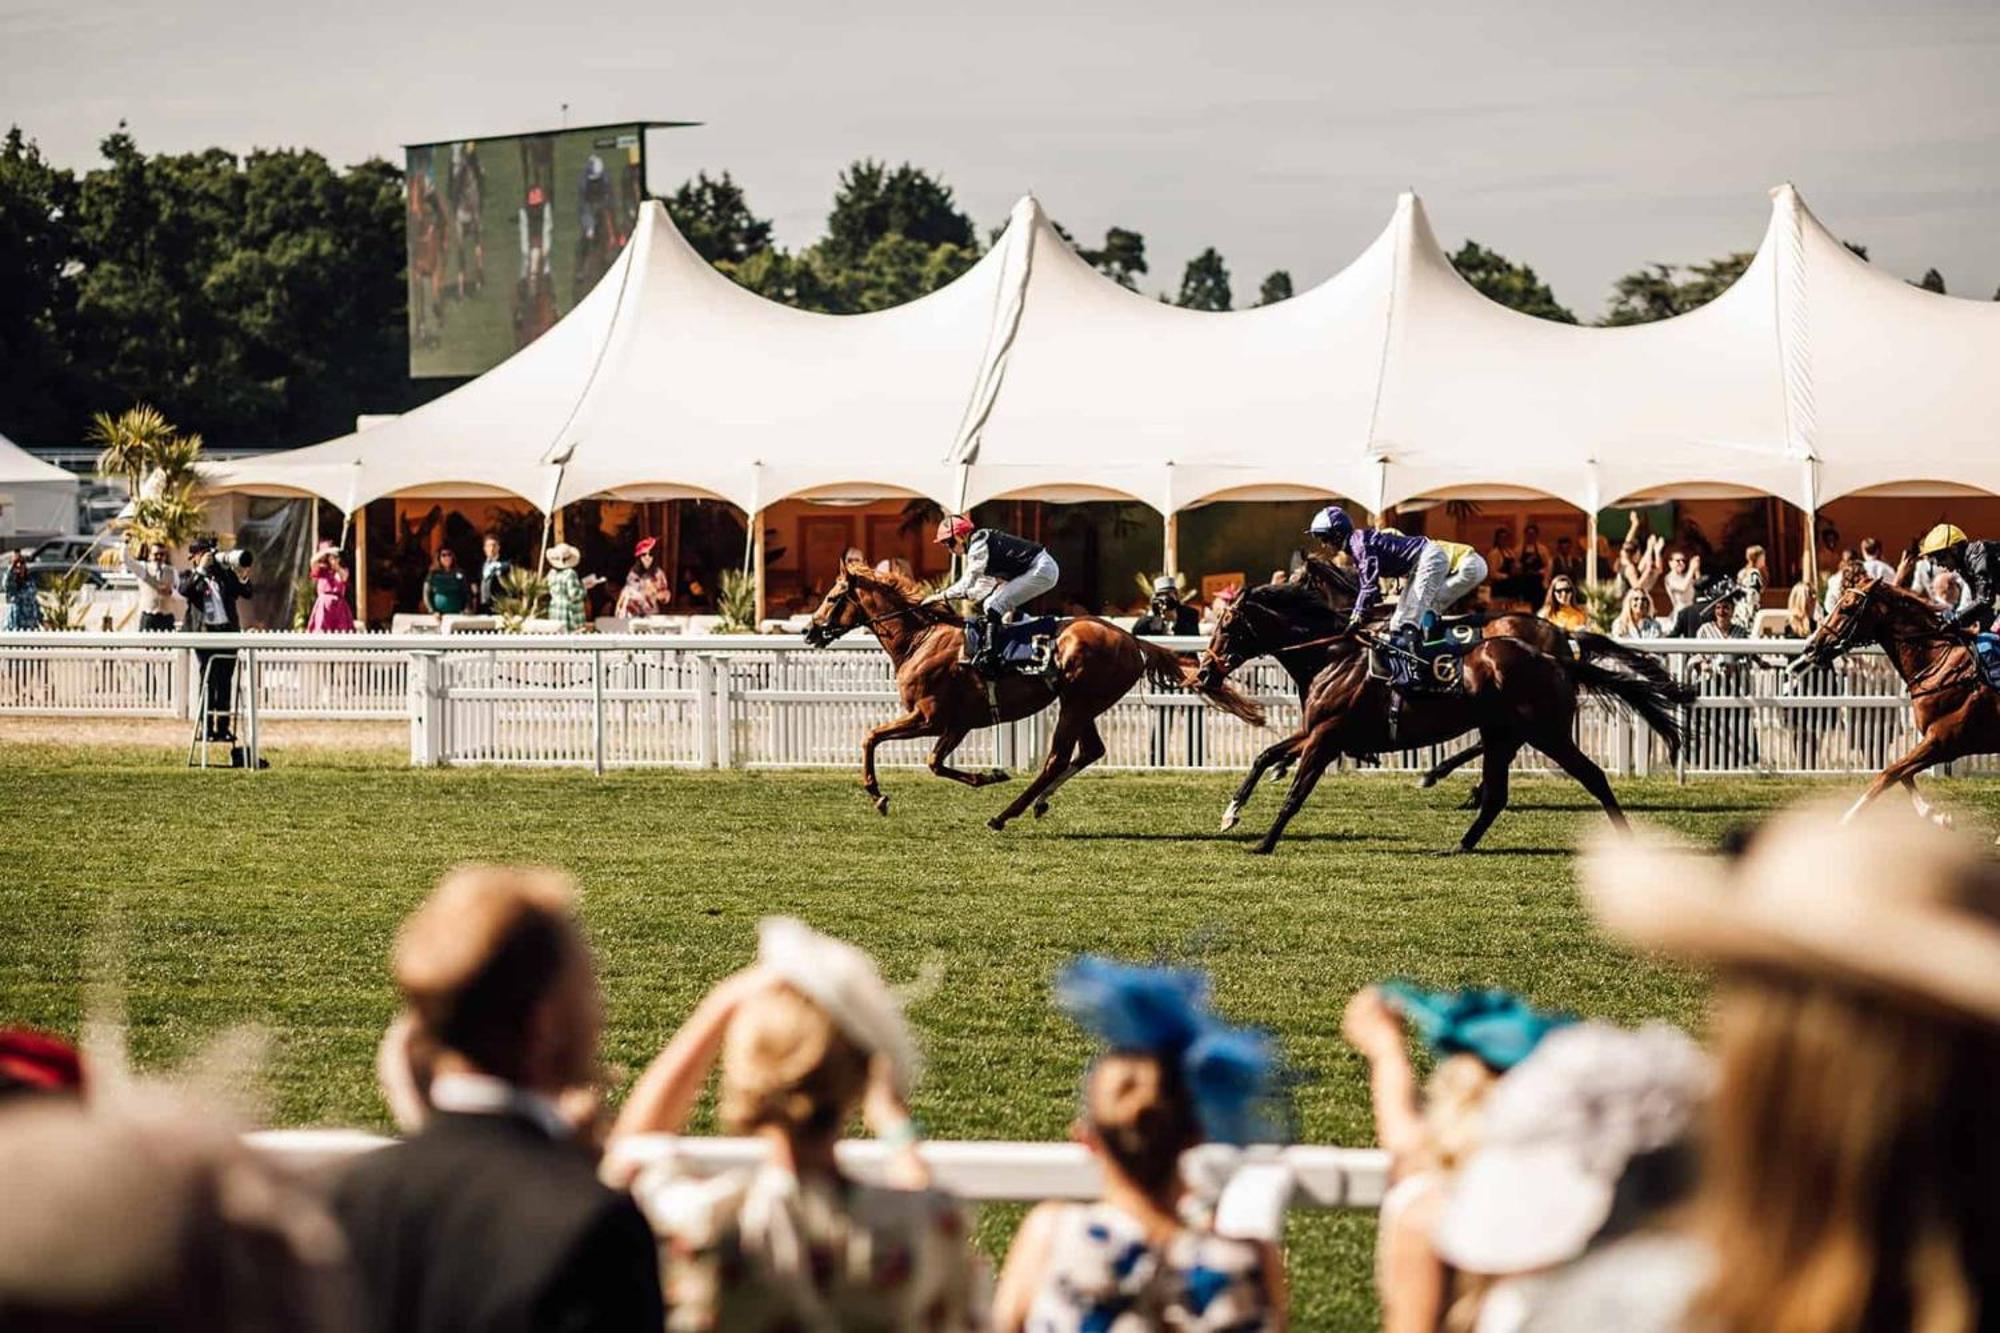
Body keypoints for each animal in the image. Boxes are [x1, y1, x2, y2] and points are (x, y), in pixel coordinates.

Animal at [800, 556, 1256, 824]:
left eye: (832, 597)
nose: (808, 631)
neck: (921, 639)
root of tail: (1132, 639)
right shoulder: (957, 723)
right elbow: (934, 763)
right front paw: (989, 774)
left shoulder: (928, 717)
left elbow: (870, 737)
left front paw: (877, 794)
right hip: (1082, 705)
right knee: (1089, 751)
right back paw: (1035, 802)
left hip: (1076, 702)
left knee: (1057, 759)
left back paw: (1006, 813)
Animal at [1192, 580, 1696, 852]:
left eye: (1228, 626)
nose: (1203, 672)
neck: (1332, 655)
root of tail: (1557, 655)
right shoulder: (1314, 731)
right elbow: (1264, 757)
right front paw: (1231, 814)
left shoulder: (1327, 736)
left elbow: (1296, 794)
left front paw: (1264, 843)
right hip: (1503, 733)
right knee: (1495, 794)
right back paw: (1459, 843)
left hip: (1546, 732)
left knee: (1593, 775)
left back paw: (1626, 839)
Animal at [1784, 568, 2000, 824]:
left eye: (1847, 607)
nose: (1811, 647)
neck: (1941, 665)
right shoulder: (1940, 744)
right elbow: (1903, 775)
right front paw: (1936, 816)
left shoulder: (1943, 740)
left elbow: (1887, 774)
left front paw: (1845, 820)